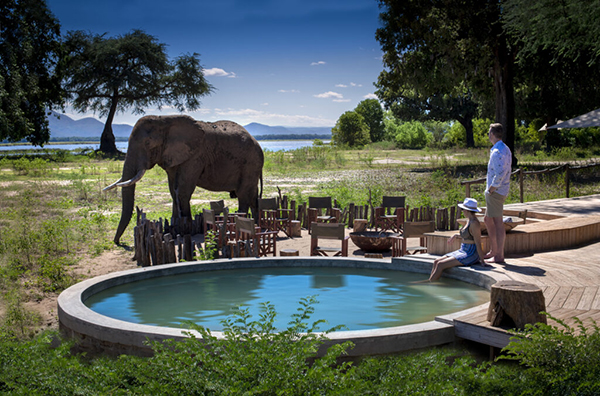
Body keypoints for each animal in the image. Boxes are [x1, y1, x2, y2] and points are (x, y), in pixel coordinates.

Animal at [105, 114, 262, 244]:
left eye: (148, 143)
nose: (118, 242)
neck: (165, 119)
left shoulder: (194, 156)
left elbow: (182, 191)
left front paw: (185, 230)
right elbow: (173, 191)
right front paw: (174, 230)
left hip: (250, 164)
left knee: (243, 195)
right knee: (253, 196)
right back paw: (256, 223)